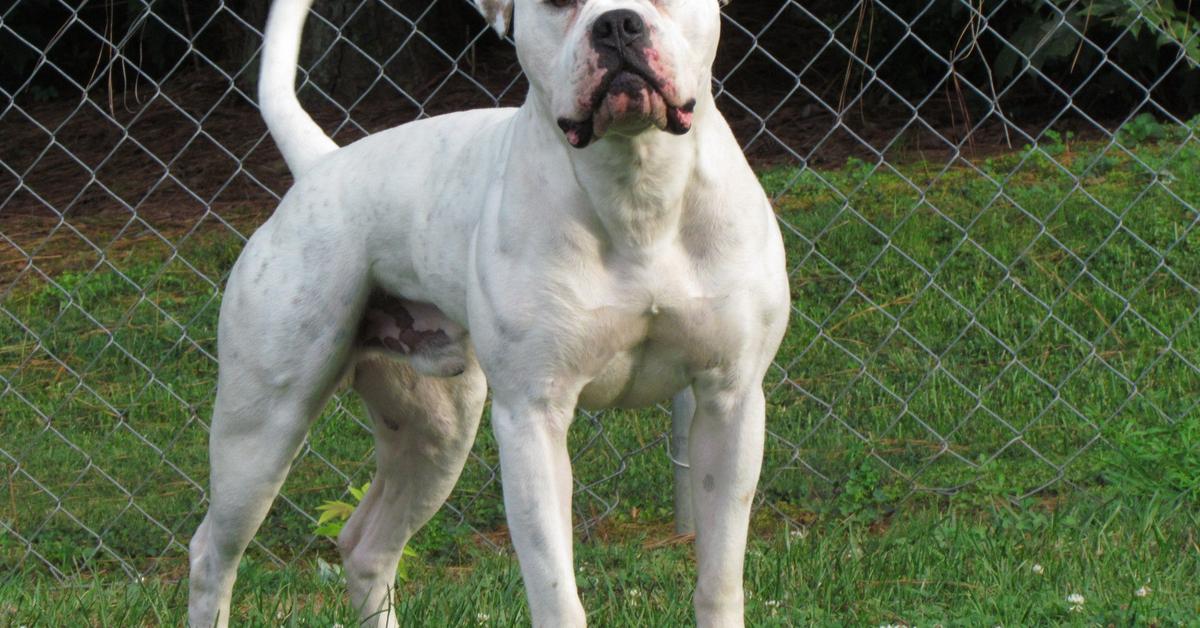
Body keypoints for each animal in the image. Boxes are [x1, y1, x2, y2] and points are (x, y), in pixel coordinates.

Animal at [184, 0, 787, 624]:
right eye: (558, 5)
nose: (618, 23)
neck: (638, 193)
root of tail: (322, 166)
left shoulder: (730, 403)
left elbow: (720, 579)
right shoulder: (533, 419)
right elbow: (556, 593)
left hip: (436, 432)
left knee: (366, 546)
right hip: (262, 428)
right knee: (213, 557)